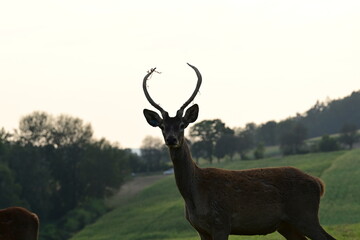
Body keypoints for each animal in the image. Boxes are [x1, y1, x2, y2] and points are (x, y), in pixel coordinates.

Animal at [142, 63, 336, 240]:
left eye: (182, 125)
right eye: (162, 126)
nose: (171, 139)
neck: (194, 195)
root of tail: (319, 183)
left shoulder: (221, 222)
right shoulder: (200, 229)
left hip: (305, 215)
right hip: (286, 224)